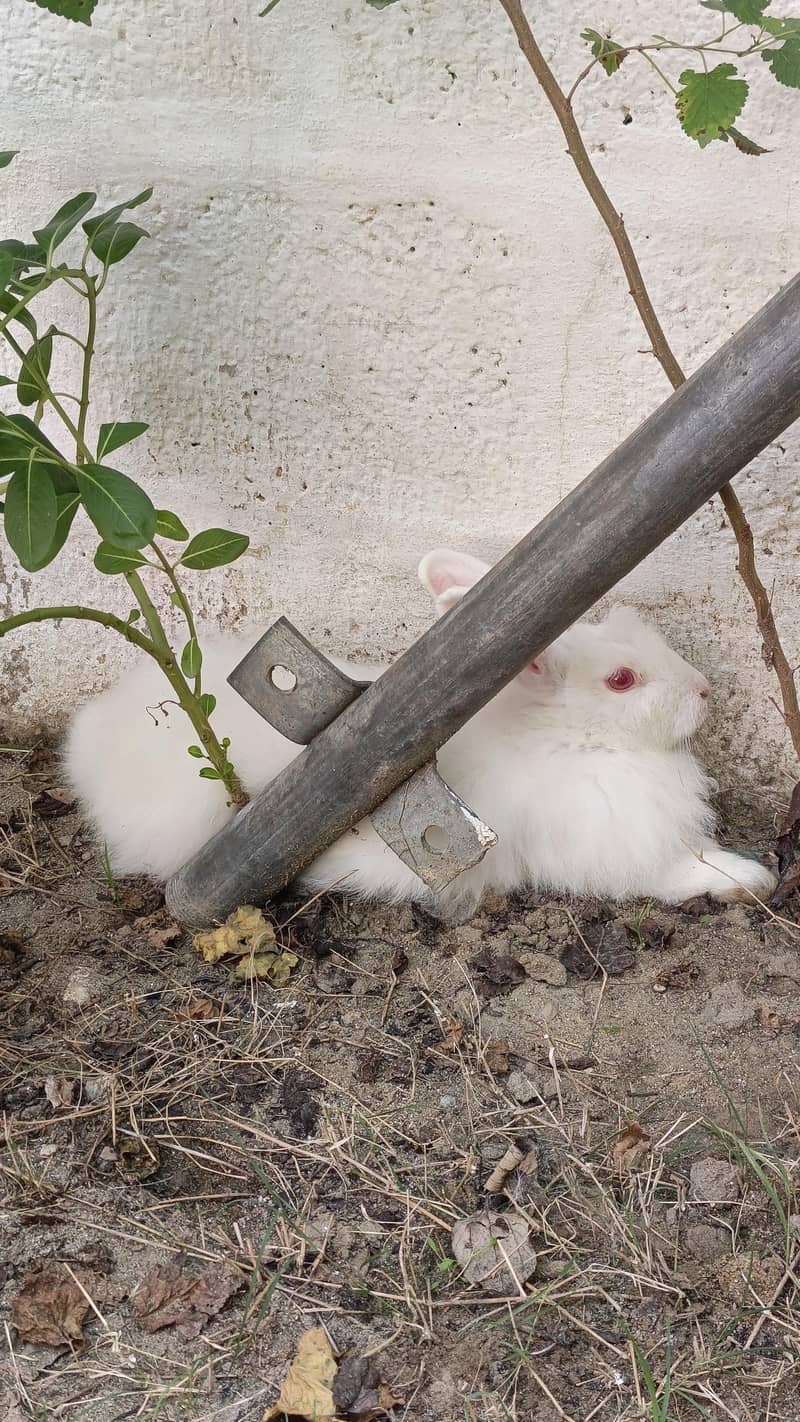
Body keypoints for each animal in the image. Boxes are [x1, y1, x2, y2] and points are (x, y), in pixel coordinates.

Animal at [64, 546, 777, 918]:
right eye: (622, 680)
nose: (704, 690)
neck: (569, 738)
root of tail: (89, 741)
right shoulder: (617, 850)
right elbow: (683, 873)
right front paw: (754, 878)